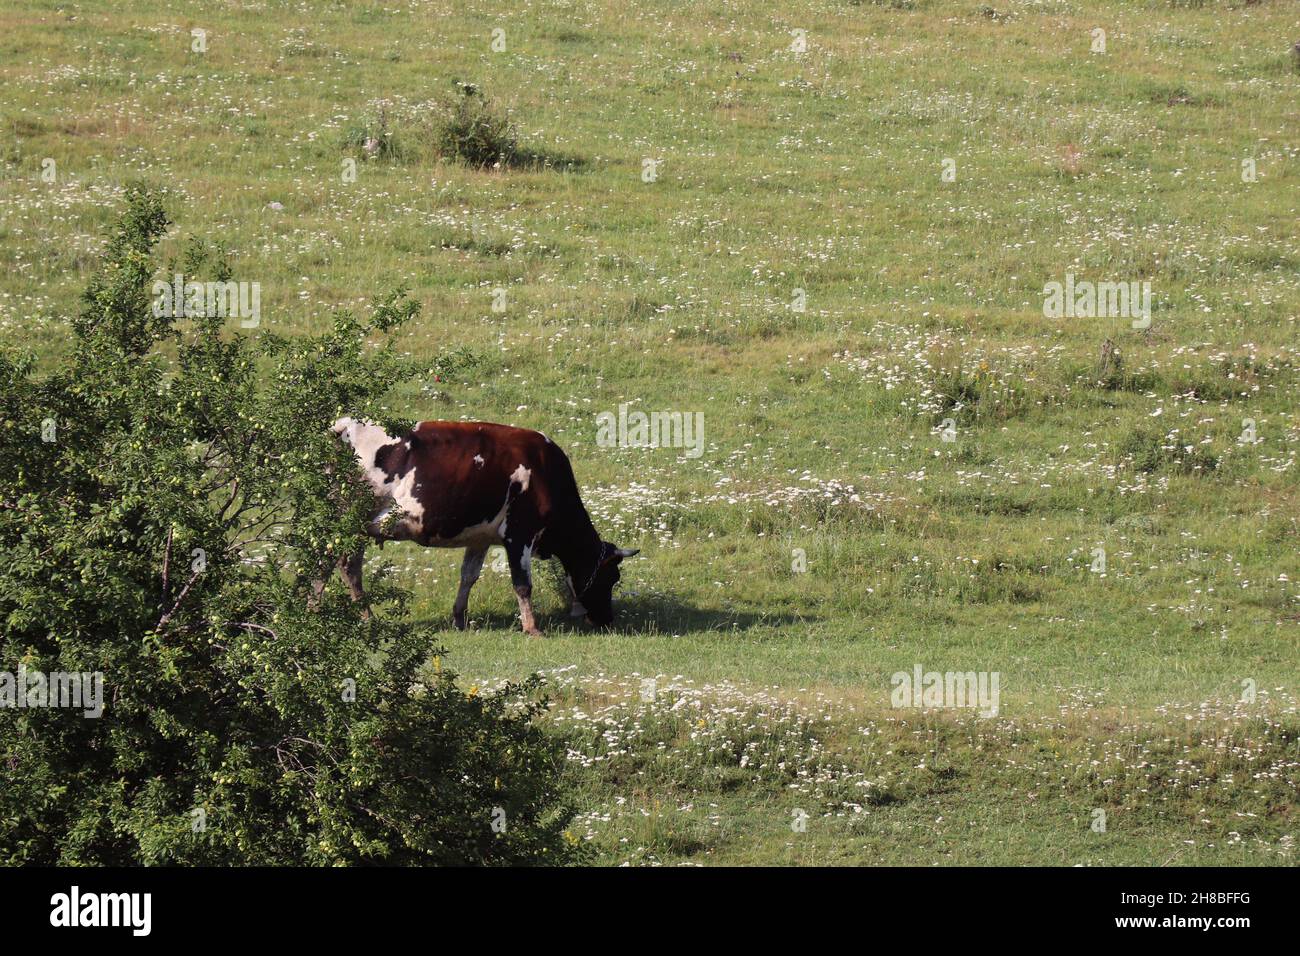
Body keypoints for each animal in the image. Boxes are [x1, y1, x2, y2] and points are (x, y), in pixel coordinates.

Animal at [328, 417, 638, 636]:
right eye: (612, 577)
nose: (606, 620)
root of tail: (345, 426)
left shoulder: (480, 537)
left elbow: (468, 576)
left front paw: (459, 619)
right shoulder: (519, 533)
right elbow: (523, 584)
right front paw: (532, 628)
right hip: (352, 520)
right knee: (346, 567)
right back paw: (365, 617)